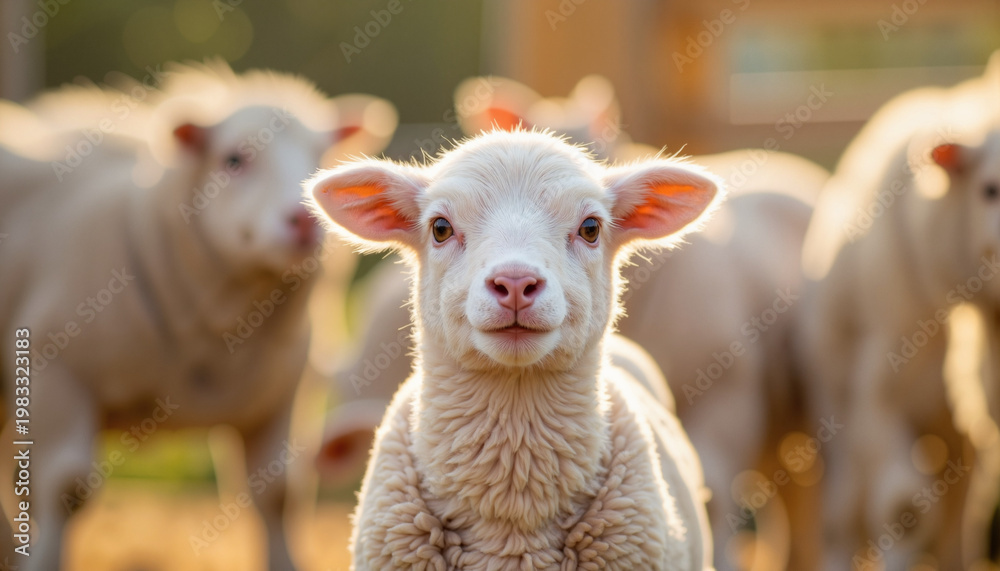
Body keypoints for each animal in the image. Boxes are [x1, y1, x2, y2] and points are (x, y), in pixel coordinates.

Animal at [0, 62, 395, 571]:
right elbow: (64, 488)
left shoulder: (280, 395)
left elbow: (278, 493)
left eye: (320, 155)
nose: (305, 221)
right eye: (233, 160)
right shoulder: (55, 373)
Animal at [796, 55, 1000, 569]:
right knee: (846, 511)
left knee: (960, 509)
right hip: (837, 407)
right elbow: (903, 510)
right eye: (989, 190)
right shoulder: (880, 395)